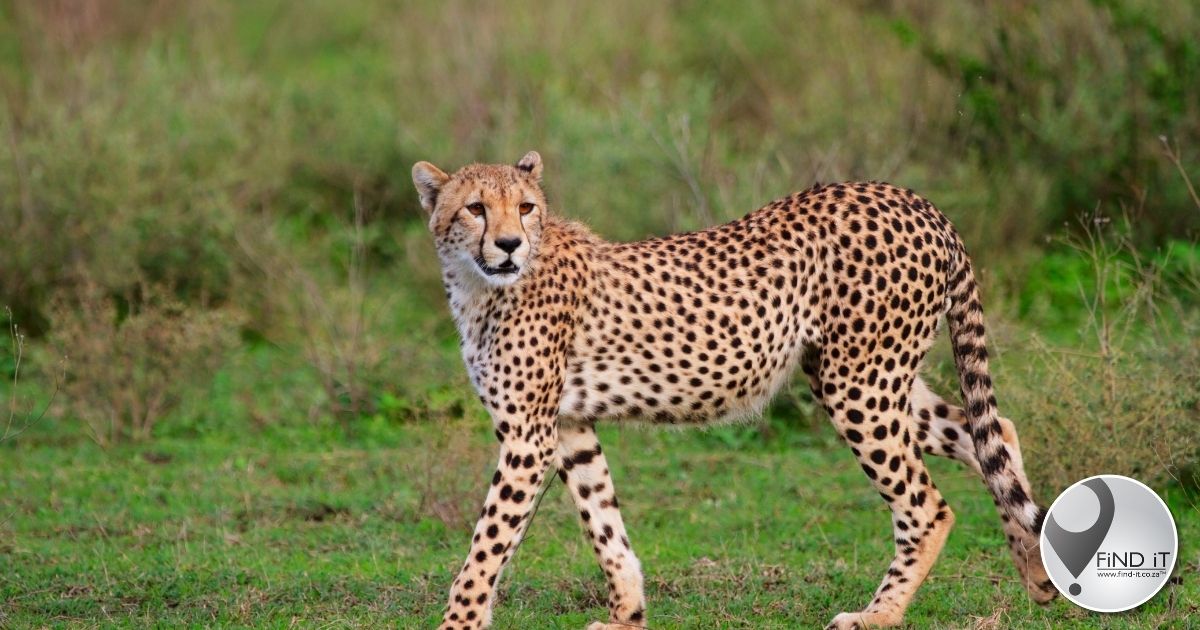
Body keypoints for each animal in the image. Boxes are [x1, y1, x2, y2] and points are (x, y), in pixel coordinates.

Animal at [411, 151, 1057, 629]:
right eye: (475, 208)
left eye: (524, 208)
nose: (509, 245)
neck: (479, 286)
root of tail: (912, 199)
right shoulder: (567, 426)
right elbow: (603, 521)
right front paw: (627, 613)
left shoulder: (528, 436)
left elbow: (487, 544)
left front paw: (458, 621)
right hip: (861, 374)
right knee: (992, 432)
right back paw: (1037, 571)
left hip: (859, 381)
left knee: (928, 504)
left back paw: (878, 615)